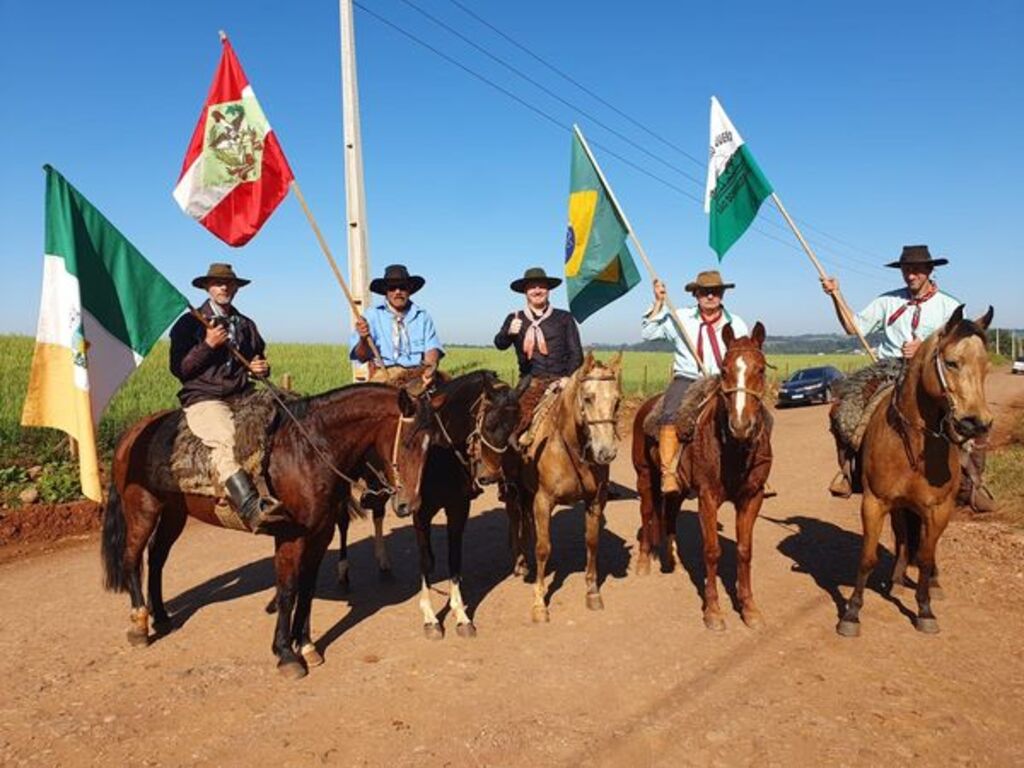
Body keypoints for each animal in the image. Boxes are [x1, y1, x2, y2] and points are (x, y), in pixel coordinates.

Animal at [99, 385, 440, 679]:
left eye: (430, 445)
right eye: (408, 442)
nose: (409, 504)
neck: (308, 450)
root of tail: (133, 433)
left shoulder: (321, 533)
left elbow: (307, 588)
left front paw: (307, 645)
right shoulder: (291, 536)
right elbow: (288, 590)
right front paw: (286, 653)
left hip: (173, 514)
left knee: (156, 559)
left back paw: (161, 617)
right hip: (142, 510)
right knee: (132, 559)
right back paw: (140, 624)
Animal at [327, 370, 520, 638]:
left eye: (515, 424)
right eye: (490, 424)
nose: (491, 476)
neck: (442, 453)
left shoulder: (458, 508)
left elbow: (454, 558)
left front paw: (461, 615)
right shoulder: (419, 511)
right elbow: (426, 560)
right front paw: (430, 618)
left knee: (377, 512)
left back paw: (384, 563)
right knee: (343, 521)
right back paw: (343, 572)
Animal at [505, 352, 622, 622]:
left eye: (617, 401)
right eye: (588, 398)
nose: (606, 452)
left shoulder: (595, 501)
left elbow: (592, 542)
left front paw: (592, 592)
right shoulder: (543, 500)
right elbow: (543, 548)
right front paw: (539, 603)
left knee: (528, 523)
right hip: (514, 490)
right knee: (515, 518)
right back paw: (519, 563)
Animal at [630, 325, 770, 630]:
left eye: (761, 369)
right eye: (725, 369)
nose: (740, 425)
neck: (732, 449)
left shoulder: (751, 497)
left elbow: (744, 550)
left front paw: (750, 608)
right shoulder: (707, 498)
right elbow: (712, 551)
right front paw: (713, 611)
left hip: (679, 490)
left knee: (669, 515)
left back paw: (672, 561)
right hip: (644, 477)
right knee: (647, 513)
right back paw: (644, 562)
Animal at [835, 307, 995, 638]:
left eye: (985, 366)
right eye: (951, 362)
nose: (977, 424)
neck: (914, 444)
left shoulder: (939, 508)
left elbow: (925, 557)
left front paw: (925, 609)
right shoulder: (875, 502)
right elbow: (867, 558)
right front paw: (852, 614)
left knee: (924, 549)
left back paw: (933, 583)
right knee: (902, 538)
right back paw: (897, 578)